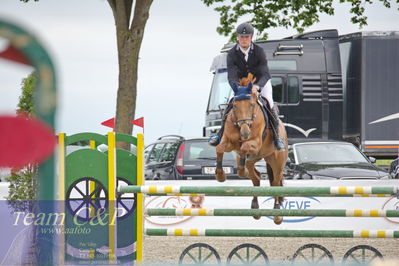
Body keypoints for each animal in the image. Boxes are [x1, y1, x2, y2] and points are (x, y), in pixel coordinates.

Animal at [216, 73, 288, 224]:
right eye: (234, 106)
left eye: (251, 104)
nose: (245, 133)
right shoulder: (229, 142)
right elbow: (220, 148)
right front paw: (220, 176)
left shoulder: (255, 144)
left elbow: (244, 147)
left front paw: (240, 171)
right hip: (258, 158)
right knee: (256, 177)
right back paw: (255, 207)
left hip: (277, 161)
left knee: (276, 182)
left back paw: (277, 213)